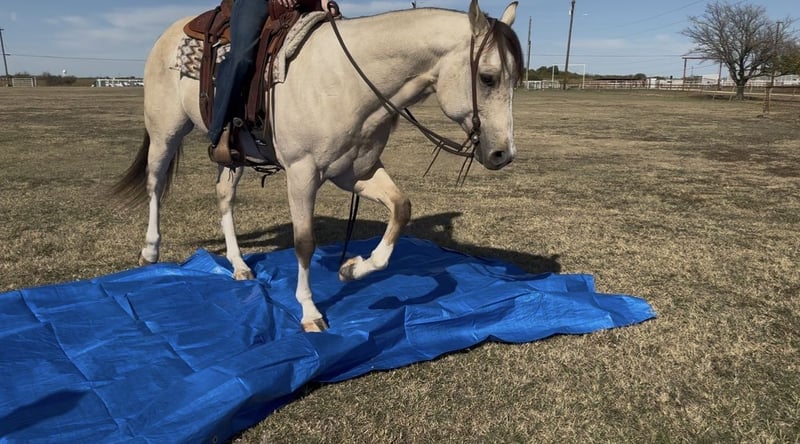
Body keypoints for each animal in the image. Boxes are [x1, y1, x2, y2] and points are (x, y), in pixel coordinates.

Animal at [113, 0, 524, 332]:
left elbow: (401, 208)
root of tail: (168, 34)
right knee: (154, 184)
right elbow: (304, 242)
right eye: (488, 78)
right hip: (165, 132)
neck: (347, 82)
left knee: (224, 196)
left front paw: (352, 268)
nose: (503, 154)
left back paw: (239, 265)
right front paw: (310, 311)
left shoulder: (354, 172)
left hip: (231, 156)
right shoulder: (302, 173)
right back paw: (150, 252)